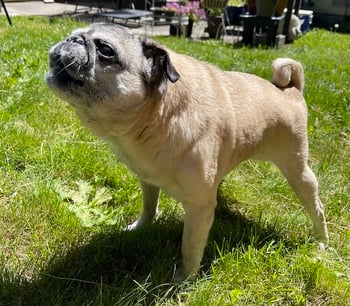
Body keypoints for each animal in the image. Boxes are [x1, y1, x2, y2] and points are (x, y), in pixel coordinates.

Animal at [45, 23, 328, 282]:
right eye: (73, 34)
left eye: (105, 50)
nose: (72, 39)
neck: (154, 117)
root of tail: (291, 89)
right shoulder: (147, 179)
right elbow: (149, 206)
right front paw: (141, 227)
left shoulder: (199, 208)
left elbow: (190, 247)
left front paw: (184, 279)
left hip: (297, 170)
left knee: (317, 208)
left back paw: (321, 242)